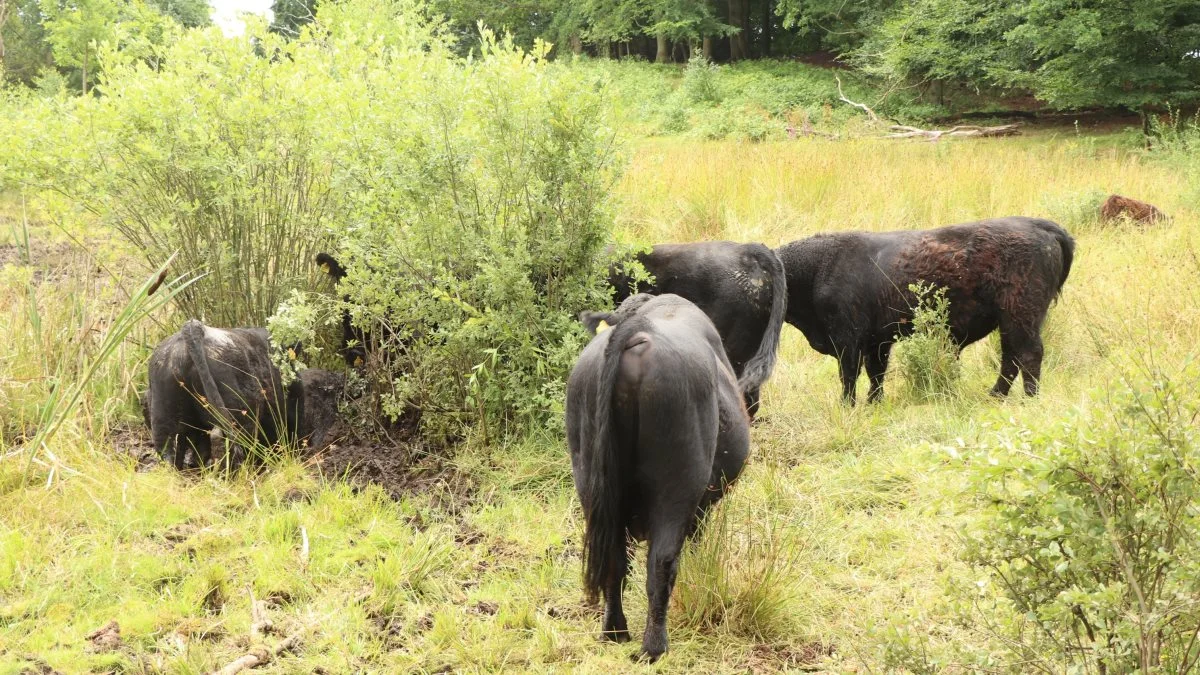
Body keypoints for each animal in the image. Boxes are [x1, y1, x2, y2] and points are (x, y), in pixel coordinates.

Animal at [564, 291, 748, 658]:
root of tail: (637, 328)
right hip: (676, 485)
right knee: (661, 562)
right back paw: (654, 647)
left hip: (591, 483)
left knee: (616, 561)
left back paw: (615, 631)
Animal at [777, 218, 1080, 401]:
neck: (818, 268)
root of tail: (1041, 227)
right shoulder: (877, 341)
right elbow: (876, 374)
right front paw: (874, 403)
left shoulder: (848, 342)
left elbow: (849, 376)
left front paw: (847, 406)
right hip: (1010, 322)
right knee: (1011, 357)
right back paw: (995, 396)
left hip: (1020, 317)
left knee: (1027, 355)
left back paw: (1028, 399)